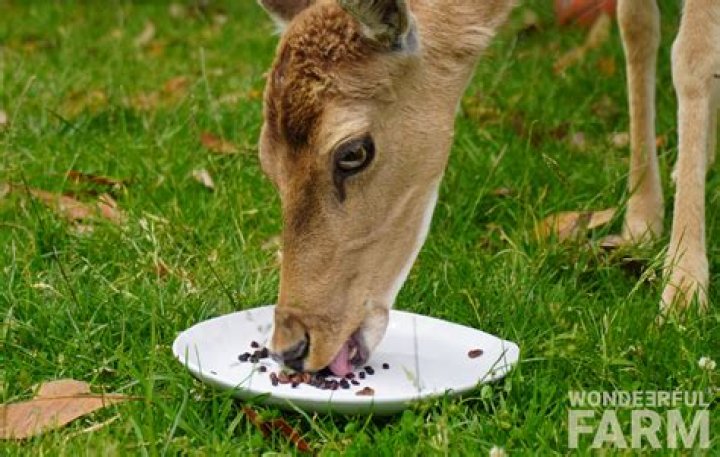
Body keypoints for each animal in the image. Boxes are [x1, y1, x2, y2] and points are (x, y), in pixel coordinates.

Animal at [256, 0, 719, 376]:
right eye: (266, 162)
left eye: (353, 152)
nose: (292, 346)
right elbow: (636, 25)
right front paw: (642, 220)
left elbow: (692, 55)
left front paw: (683, 292)